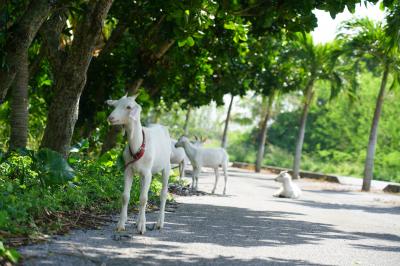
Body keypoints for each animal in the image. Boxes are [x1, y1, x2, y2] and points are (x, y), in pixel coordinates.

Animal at [106, 94, 170, 234]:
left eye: (129, 107)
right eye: (115, 105)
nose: (110, 118)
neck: (139, 144)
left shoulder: (147, 173)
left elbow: (143, 199)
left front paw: (142, 227)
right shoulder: (128, 169)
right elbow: (125, 196)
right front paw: (121, 224)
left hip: (166, 166)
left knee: (163, 194)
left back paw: (159, 223)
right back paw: (137, 221)